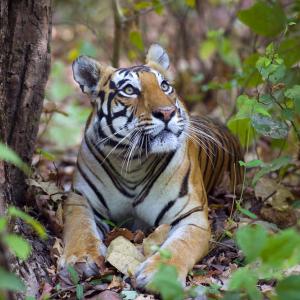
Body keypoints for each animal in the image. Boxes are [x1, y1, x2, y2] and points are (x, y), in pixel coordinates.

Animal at [59, 44, 244, 288]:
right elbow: (80, 228)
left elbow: (180, 246)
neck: (133, 164)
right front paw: (81, 258)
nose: (166, 112)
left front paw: (161, 275)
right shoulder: (80, 198)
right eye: (129, 90)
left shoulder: (192, 215)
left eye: (165, 86)